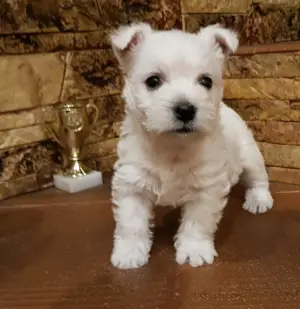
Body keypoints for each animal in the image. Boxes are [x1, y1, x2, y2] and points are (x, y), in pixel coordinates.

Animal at [109, 22, 272, 268]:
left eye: (206, 81)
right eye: (153, 81)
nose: (185, 109)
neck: (173, 146)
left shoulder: (206, 188)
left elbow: (197, 223)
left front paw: (194, 251)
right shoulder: (132, 183)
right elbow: (132, 223)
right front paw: (129, 253)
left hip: (250, 155)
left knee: (258, 179)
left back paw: (259, 200)